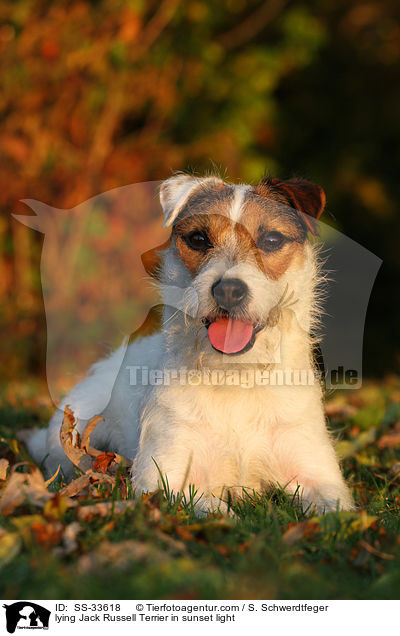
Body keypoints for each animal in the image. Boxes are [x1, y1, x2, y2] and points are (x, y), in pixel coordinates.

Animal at [27, 173, 354, 512]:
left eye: (272, 240)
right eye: (198, 239)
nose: (228, 290)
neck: (235, 376)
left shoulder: (320, 477)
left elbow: (335, 510)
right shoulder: (162, 478)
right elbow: (210, 506)